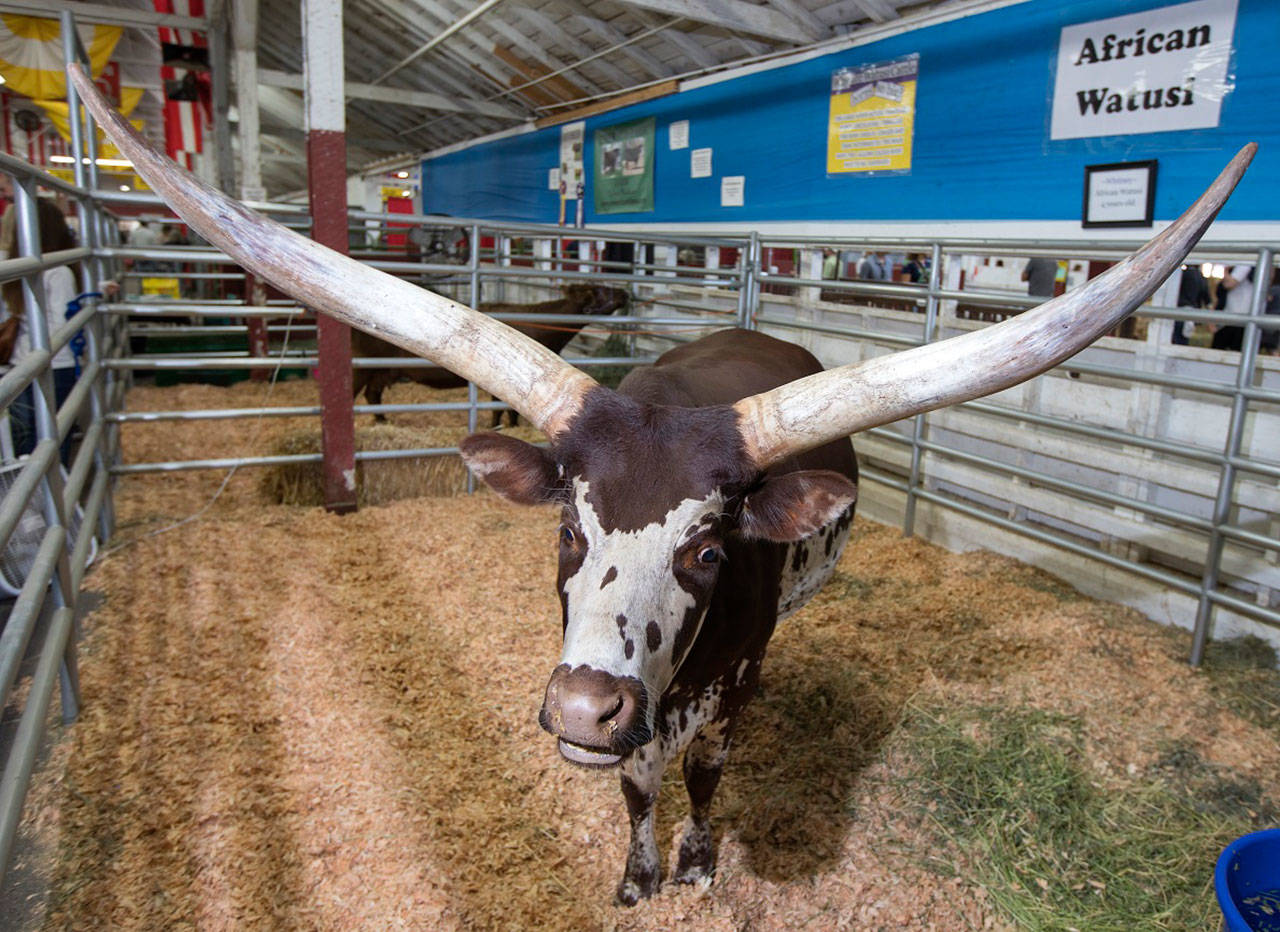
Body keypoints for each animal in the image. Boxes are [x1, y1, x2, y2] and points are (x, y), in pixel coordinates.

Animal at [350, 280, 629, 425]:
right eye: (601, 290)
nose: (625, 292)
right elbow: (500, 409)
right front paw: (499, 426)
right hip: (363, 366)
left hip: (383, 370)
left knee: (372, 394)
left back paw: (382, 420)